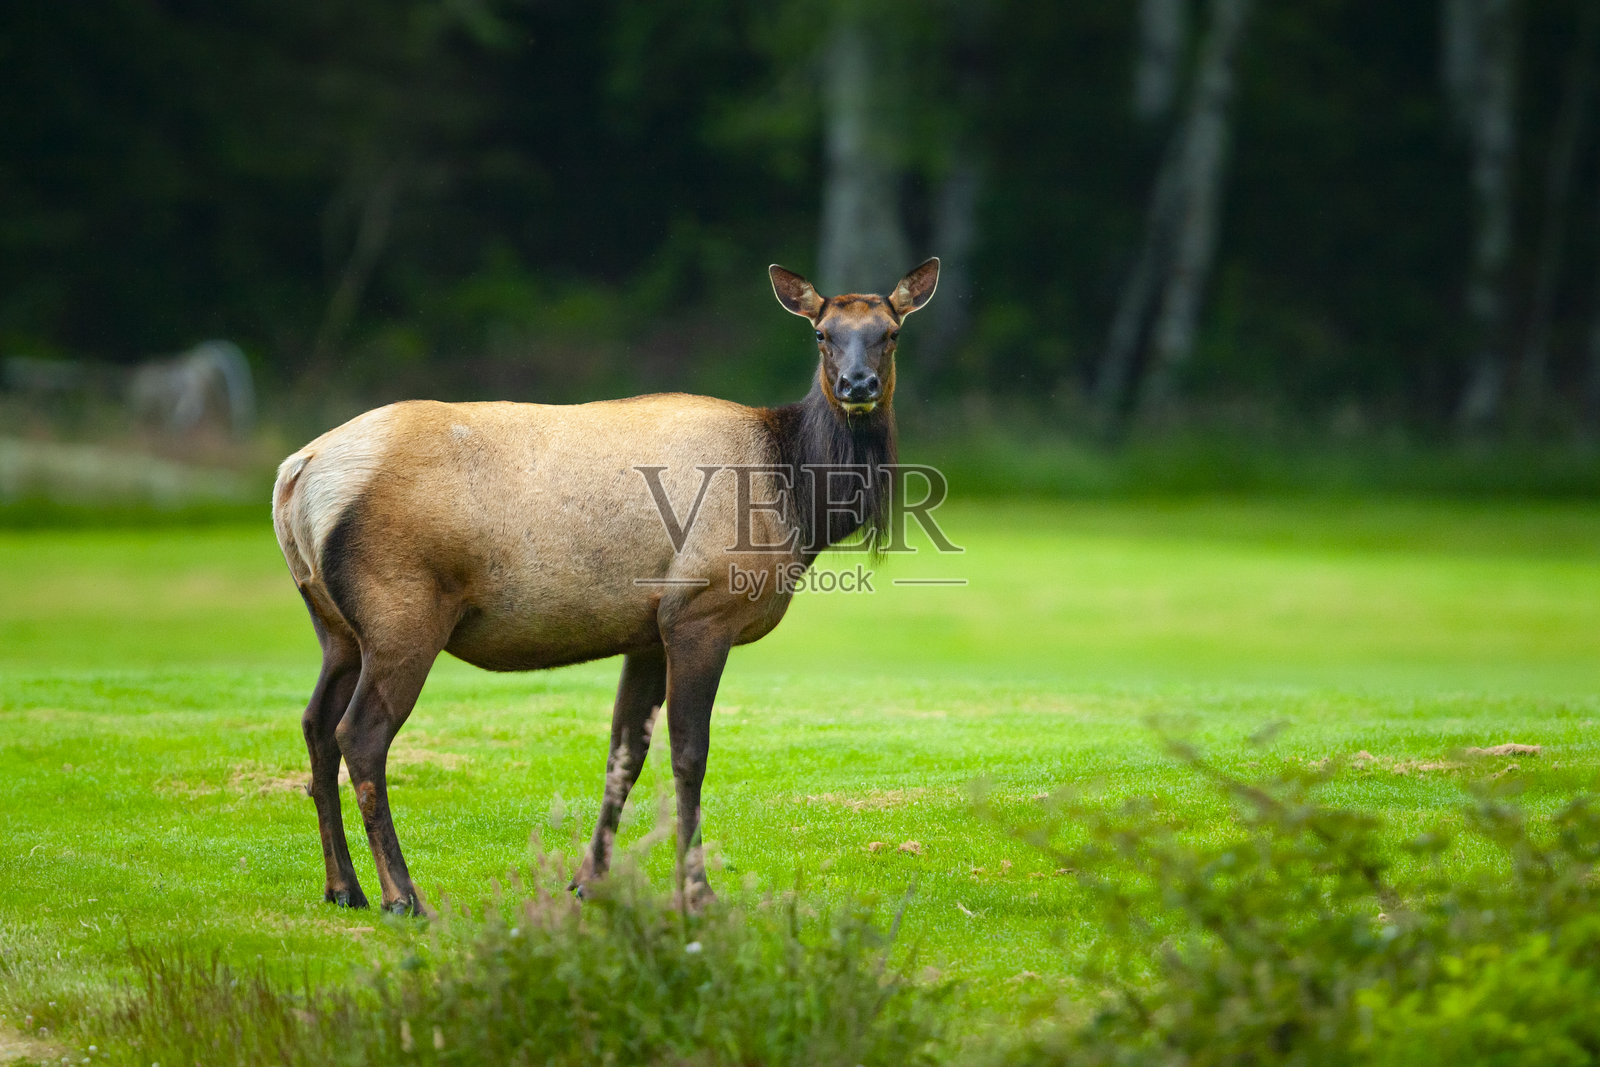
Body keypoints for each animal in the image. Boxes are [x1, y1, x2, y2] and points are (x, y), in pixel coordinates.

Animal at [271, 258, 938, 914]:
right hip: (402, 611)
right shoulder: (701, 610)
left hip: (334, 624)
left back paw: (343, 887)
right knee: (360, 734)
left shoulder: (647, 630)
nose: (858, 386)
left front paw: (589, 879)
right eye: (822, 334)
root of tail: (295, 474)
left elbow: (625, 754)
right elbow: (689, 753)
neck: (797, 499)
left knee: (314, 724)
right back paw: (402, 895)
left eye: (891, 333)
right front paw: (696, 891)